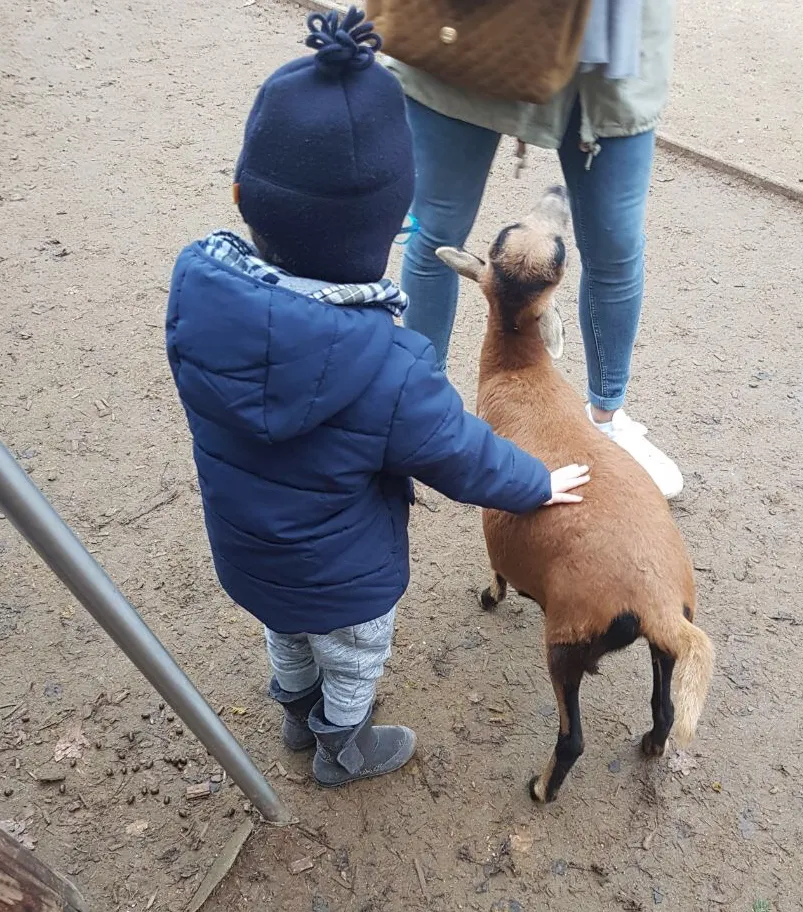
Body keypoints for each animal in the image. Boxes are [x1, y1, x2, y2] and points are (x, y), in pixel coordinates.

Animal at [437, 186, 714, 803]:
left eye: (561, 248)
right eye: (510, 232)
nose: (559, 191)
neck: (522, 372)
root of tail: (658, 602)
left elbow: (496, 569)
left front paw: (491, 598)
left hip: (565, 641)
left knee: (573, 741)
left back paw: (543, 789)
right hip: (665, 642)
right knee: (663, 708)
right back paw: (651, 745)